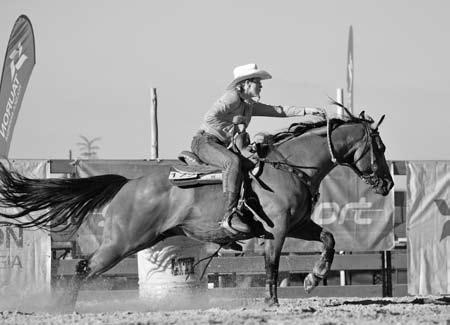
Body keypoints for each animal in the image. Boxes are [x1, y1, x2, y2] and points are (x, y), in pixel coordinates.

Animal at [0, 106, 394, 306]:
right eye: (380, 148)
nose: (389, 184)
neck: (290, 165)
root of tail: (128, 184)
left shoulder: (299, 225)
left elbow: (329, 239)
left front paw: (314, 279)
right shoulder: (278, 229)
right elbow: (272, 264)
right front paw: (271, 301)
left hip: (138, 241)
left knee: (82, 265)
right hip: (122, 243)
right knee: (83, 267)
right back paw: (61, 307)